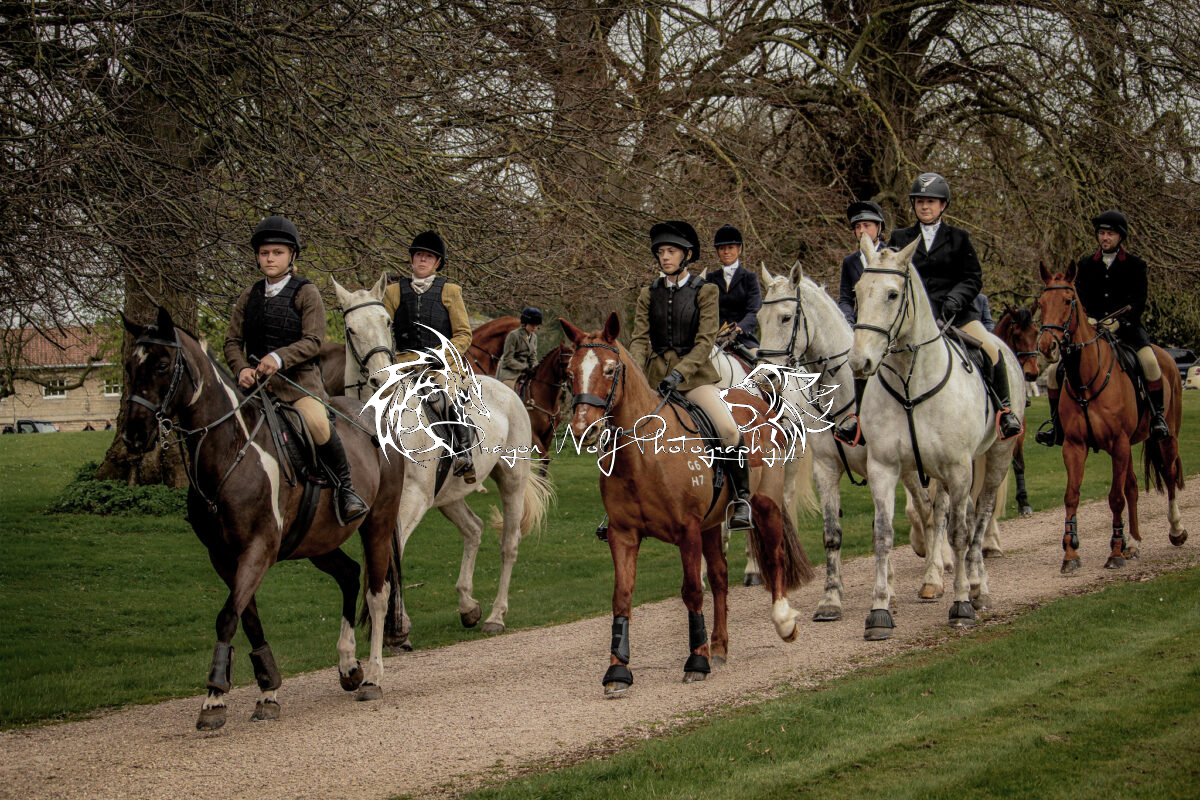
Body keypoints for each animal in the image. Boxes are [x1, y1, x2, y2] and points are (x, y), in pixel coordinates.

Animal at [121, 307, 405, 730]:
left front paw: (214, 697)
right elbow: (247, 617)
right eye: (129, 367)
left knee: (377, 593)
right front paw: (267, 690)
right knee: (349, 575)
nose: (133, 435)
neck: (231, 450)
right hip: (317, 541)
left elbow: (227, 616)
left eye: (160, 364)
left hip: (378, 524)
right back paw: (348, 666)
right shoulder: (225, 557)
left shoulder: (258, 549)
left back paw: (371, 676)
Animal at [334, 278, 554, 639]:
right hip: (448, 493)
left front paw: (396, 625)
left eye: (386, 322)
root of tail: (505, 389)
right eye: (350, 329)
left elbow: (394, 554)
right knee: (474, 529)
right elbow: (379, 558)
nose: (381, 380)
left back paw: (496, 615)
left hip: (512, 479)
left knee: (508, 544)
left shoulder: (412, 499)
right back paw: (468, 606)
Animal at [561, 313, 815, 697]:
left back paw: (783, 622)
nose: (581, 429)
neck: (644, 454)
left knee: (774, 556)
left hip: (765, 505)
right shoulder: (624, 534)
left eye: (609, 369)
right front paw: (618, 670)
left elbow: (693, 591)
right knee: (722, 578)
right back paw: (719, 646)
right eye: (569, 372)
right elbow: (622, 596)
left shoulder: (688, 530)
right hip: (712, 524)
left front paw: (696, 661)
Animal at [848, 235, 1024, 638]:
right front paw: (879, 611)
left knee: (979, 517)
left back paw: (977, 588)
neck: (910, 382)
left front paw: (961, 605)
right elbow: (883, 535)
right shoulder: (884, 468)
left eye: (893, 294)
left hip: (995, 457)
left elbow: (959, 533)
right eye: (858, 292)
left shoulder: (959, 468)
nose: (860, 363)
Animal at [1035, 262, 1186, 572]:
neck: (1086, 380)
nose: (1047, 347)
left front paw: (1114, 551)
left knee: (1169, 474)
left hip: (1165, 438)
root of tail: (1166, 355)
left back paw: (1175, 531)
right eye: (1041, 303)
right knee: (1133, 487)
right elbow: (1072, 495)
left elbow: (1115, 498)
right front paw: (1071, 553)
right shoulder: (1075, 446)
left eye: (1068, 301)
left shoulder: (1118, 443)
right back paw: (1134, 543)